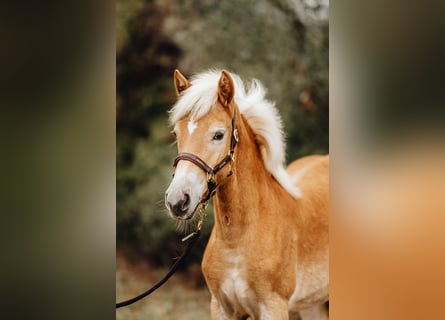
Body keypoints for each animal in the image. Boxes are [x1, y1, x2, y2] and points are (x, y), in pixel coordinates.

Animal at [165, 69, 328, 318]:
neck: (237, 241)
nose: (177, 200)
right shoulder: (222, 308)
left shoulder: (273, 308)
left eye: (218, 135)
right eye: (176, 133)